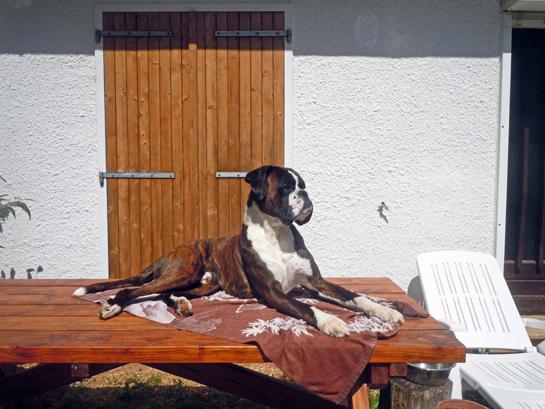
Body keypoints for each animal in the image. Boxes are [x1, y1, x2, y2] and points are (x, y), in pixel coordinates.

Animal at [74, 164, 402, 336]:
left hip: (205, 284)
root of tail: (171, 251)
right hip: (186, 269)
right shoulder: (273, 292)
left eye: (303, 184)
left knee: (167, 293)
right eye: (286, 187)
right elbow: (307, 307)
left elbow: (355, 296)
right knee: (137, 290)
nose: (305, 194)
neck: (278, 233)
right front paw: (330, 320)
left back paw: (182, 304)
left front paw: (385, 311)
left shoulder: (315, 283)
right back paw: (113, 305)